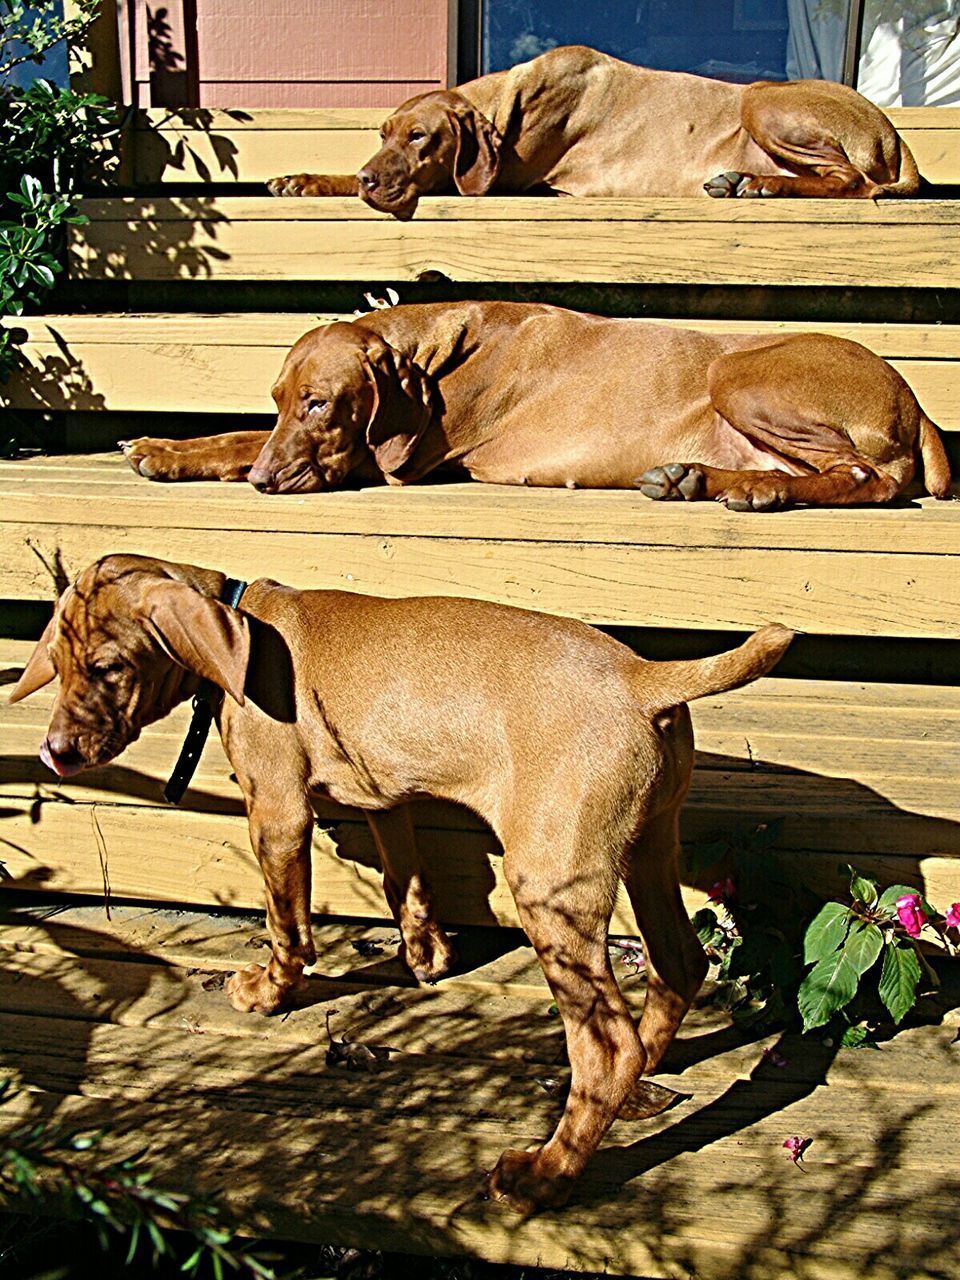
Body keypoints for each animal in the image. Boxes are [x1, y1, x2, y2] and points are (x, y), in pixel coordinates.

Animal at [11, 555, 793, 1213]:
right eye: (62, 664)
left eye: (109, 667)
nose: (52, 754)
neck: (238, 629)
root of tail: (644, 678)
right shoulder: (383, 796)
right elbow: (404, 877)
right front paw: (427, 956)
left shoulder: (278, 812)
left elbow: (285, 922)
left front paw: (271, 990)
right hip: (648, 847)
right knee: (677, 966)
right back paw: (642, 1077)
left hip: (550, 884)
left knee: (606, 1048)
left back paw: (545, 1174)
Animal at [267, 43, 921, 215]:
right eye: (382, 133)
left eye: (419, 137)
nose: (369, 180)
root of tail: (895, 133)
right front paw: (304, 179)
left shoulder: (500, 181)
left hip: (762, 100)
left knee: (854, 182)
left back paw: (756, 185)